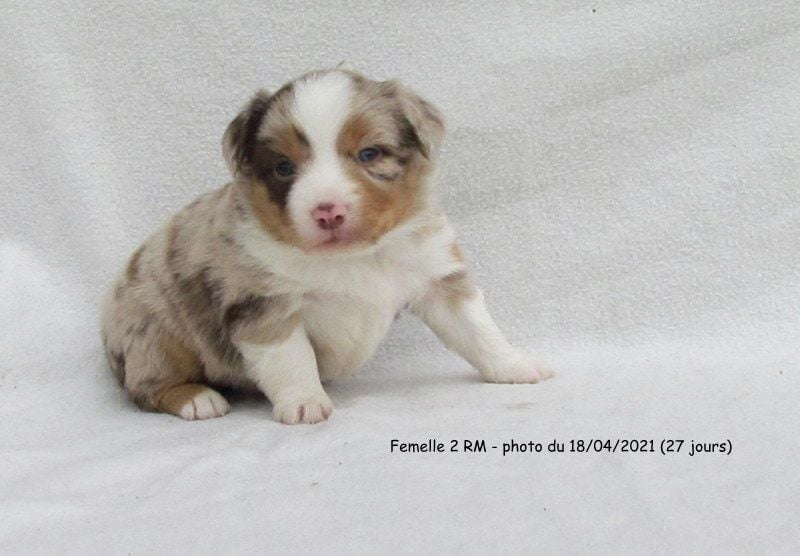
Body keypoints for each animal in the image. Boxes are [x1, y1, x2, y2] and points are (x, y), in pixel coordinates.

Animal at [100, 69, 551, 424]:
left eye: (369, 154)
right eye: (284, 167)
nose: (327, 212)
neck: (354, 258)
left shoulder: (437, 275)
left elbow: (477, 329)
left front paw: (514, 365)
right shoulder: (264, 304)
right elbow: (291, 358)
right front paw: (304, 403)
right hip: (154, 333)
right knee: (145, 387)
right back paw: (197, 399)